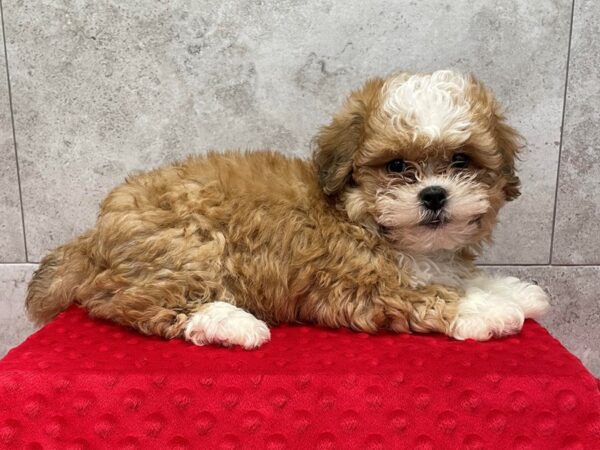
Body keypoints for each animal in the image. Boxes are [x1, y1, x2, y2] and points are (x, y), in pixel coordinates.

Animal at [24, 69, 548, 348]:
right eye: (397, 166)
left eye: (461, 160)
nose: (434, 195)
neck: (362, 217)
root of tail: (94, 234)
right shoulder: (359, 285)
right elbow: (431, 295)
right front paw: (489, 311)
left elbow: (460, 277)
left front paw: (514, 291)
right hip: (184, 244)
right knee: (130, 301)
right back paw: (234, 323)